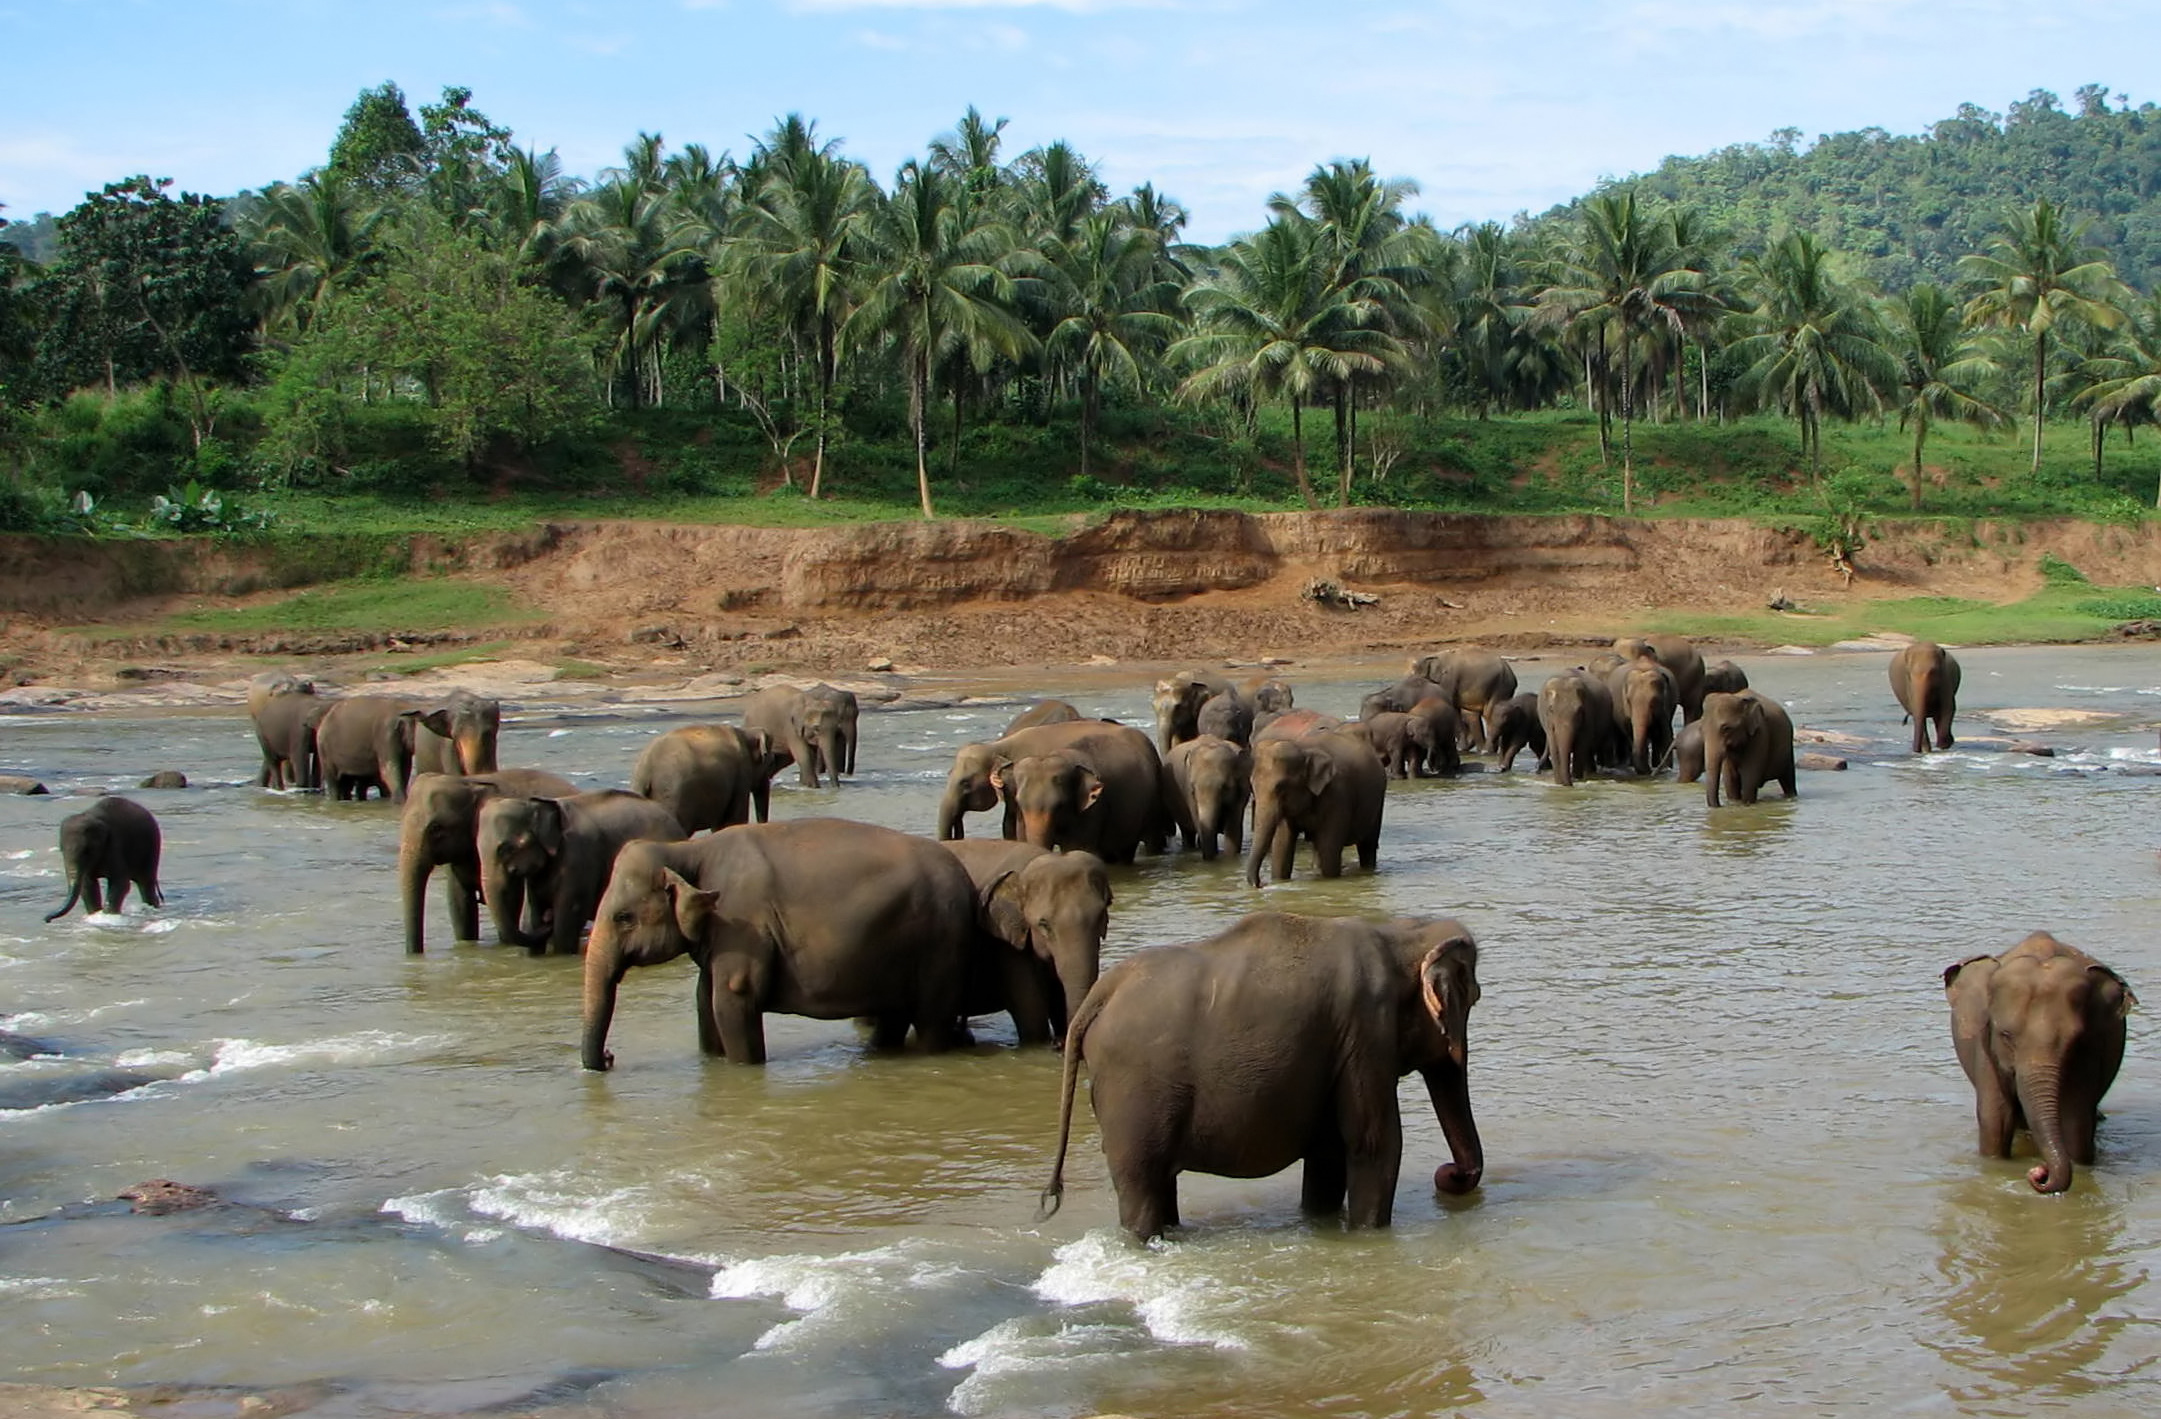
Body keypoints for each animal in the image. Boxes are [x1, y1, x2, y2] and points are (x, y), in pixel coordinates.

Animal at [580, 819, 979, 1070]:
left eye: (623, 917)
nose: (610, 1057)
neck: (688, 851)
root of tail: (964, 877)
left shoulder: (742, 922)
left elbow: (733, 997)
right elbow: (705, 1000)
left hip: (941, 944)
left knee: (930, 1021)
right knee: (894, 1018)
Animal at [631, 723, 779, 832]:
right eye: (771, 762)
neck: (746, 732)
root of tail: (646, 768)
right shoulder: (742, 773)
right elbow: (736, 819)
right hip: (674, 796)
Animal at [1041, 911, 1484, 1241]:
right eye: (1474, 998)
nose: (1448, 1174)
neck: (1400, 933)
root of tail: (1100, 995)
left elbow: (1327, 1153)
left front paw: (1321, 1227)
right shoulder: (1366, 1032)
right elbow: (1373, 1144)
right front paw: (1367, 1235)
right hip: (1134, 1097)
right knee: (1140, 1185)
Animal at [1247, 724, 1386, 886]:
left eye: (1281, 787)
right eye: (1252, 786)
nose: (1259, 884)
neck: (1304, 749)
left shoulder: (1338, 794)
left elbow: (1328, 850)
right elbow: (1282, 846)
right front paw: (1279, 880)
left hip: (1379, 800)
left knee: (1368, 846)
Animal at [1945, 931, 2135, 1195]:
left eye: (2075, 1040)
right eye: (2005, 1035)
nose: (2038, 1172)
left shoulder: (2091, 1049)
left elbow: (2075, 1120)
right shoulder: (1984, 1047)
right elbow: (1996, 1119)